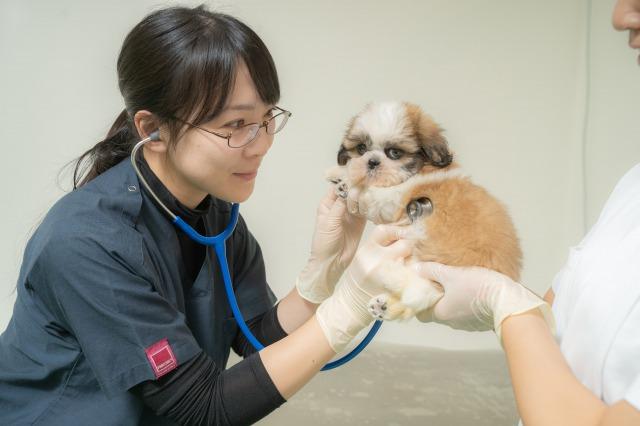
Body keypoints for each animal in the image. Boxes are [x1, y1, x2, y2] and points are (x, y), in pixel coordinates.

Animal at [328, 101, 524, 320]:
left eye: (394, 153)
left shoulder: (394, 200)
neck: (417, 171)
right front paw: (343, 175)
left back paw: (391, 275)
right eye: (361, 148)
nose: (372, 161)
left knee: (423, 292)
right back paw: (385, 305)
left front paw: (344, 179)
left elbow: (369, 192)